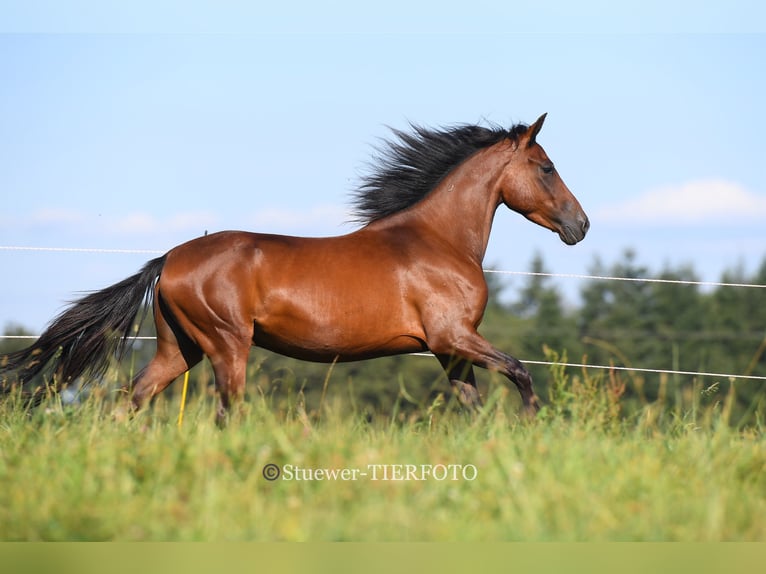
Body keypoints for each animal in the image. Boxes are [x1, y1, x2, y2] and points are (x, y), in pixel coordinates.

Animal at [0, 115, 592, 426]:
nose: (580, 225)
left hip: (179, 349)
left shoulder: (449, 349)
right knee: (225, 411)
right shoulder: (455, 337)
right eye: (546, 167)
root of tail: (168, 260)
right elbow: (520, 370)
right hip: (227, 345)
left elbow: (473, 405)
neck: (437, 241)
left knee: (133, 399)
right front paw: (535, 427)